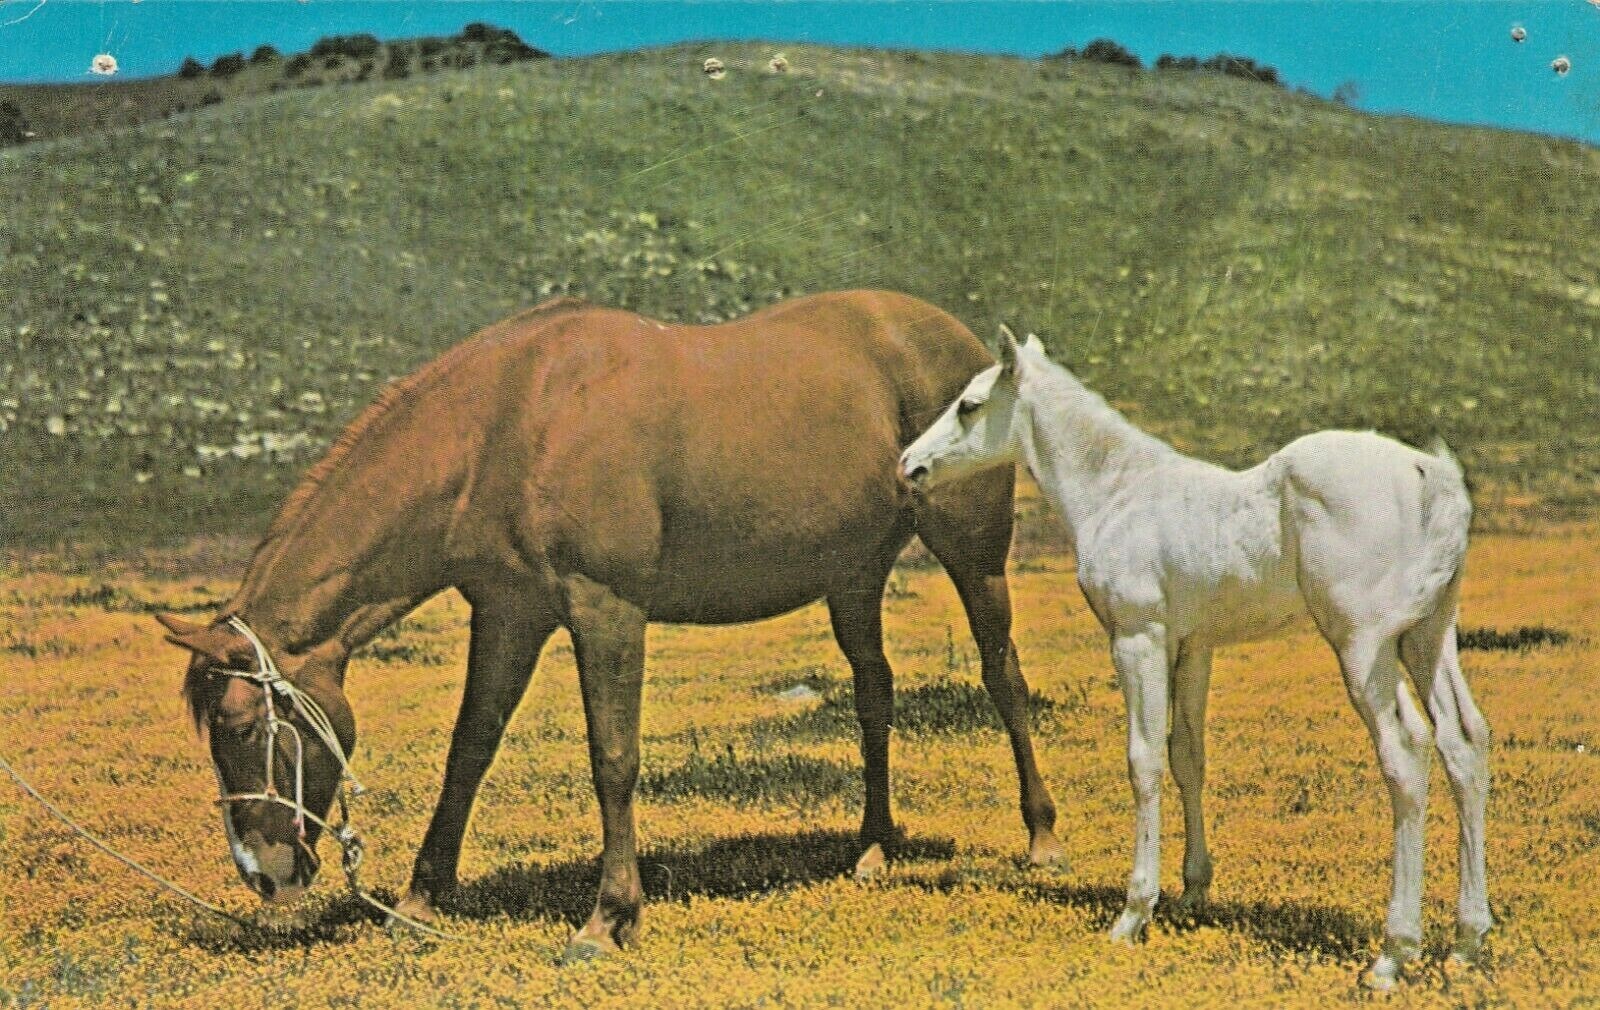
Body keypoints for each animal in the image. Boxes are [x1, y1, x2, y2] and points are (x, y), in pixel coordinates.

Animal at [156, 291, 1066, 959]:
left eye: (245, 725)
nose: (264, 873)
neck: (511, 422)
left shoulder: (607, 611)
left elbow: (613, 759)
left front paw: (608, 917)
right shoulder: (509, 614)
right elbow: (470, 749)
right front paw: (419, 898)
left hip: (974, 555)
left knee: (1003, 677)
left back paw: (1041, 839)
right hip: (853, 577)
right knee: (874, 694)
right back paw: (873, 850)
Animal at [899, 327, 1490, 989]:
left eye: (969, 404)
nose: (909, 465)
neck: (1118, 491)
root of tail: (1430, 474)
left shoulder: (1139, 638)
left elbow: (1144, 760)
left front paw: (1134, 912)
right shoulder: (1193, 647)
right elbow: (1188, 757)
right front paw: (1192, 892)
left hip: (1364, 648)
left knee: (1407, 756)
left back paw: (1392, 954)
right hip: (1427, 638)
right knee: (1464, 745)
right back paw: (1466, 942)